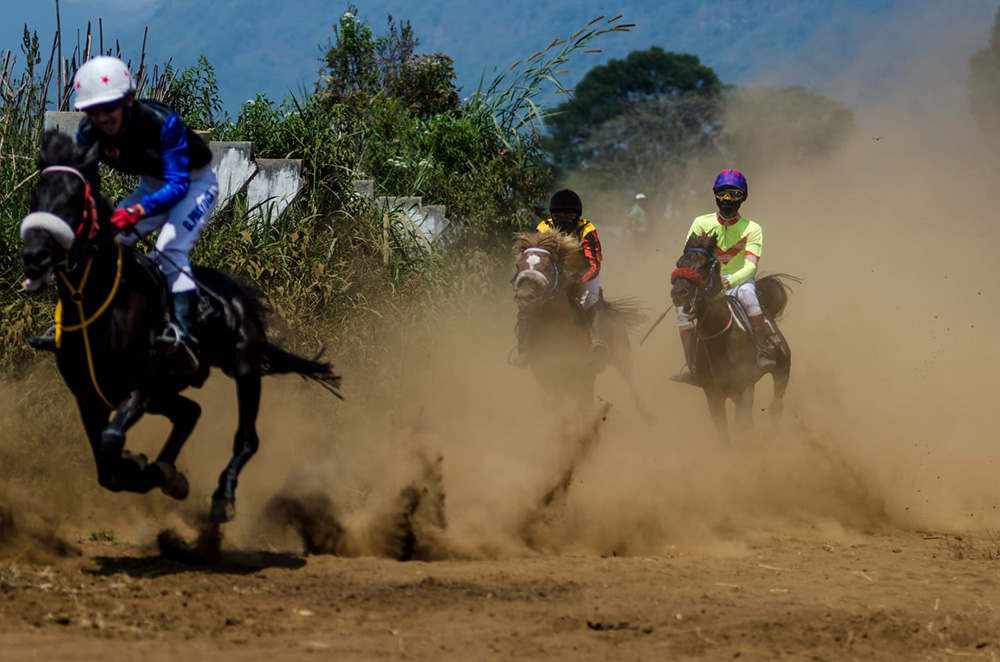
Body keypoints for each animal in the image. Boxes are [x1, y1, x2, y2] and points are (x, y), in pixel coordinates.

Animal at [18, 130, 340, 524]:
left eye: (74, 199)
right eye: (34, 197)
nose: (34, 257)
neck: (94, 303)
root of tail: (237, 294)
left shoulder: (138, 390)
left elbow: (111, 443)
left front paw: (142, 467)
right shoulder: (88, 398)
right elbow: (106, 467)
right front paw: (146, 467)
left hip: (243, 368)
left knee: (246, 437)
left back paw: (221, 495)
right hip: (167, 391)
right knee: (190, 413)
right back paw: (169, 473)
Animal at [668, 233, 800, 446]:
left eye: (704, 264)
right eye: (679, 263)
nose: (678, 293)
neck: (719, 340)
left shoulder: (746, 385)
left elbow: (742, 423)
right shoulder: (713, 394)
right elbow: (725, 434)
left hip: (782, 367)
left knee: (775, 406)